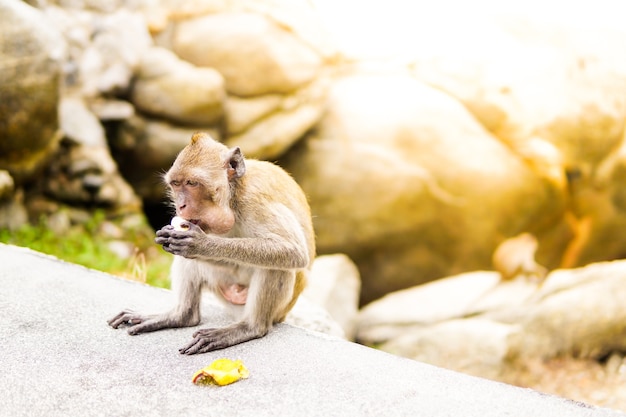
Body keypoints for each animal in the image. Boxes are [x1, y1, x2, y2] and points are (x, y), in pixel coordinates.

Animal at [108, 132, 314, 352]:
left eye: (192, 183)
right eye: (176, 184)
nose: (181, 205)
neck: (232, 199)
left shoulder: (255, 201)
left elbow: (293, 250)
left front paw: (199, 244)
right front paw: (169, 236)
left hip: (277, 307)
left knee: (278, 264)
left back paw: (250, 327)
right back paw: (180, 316)